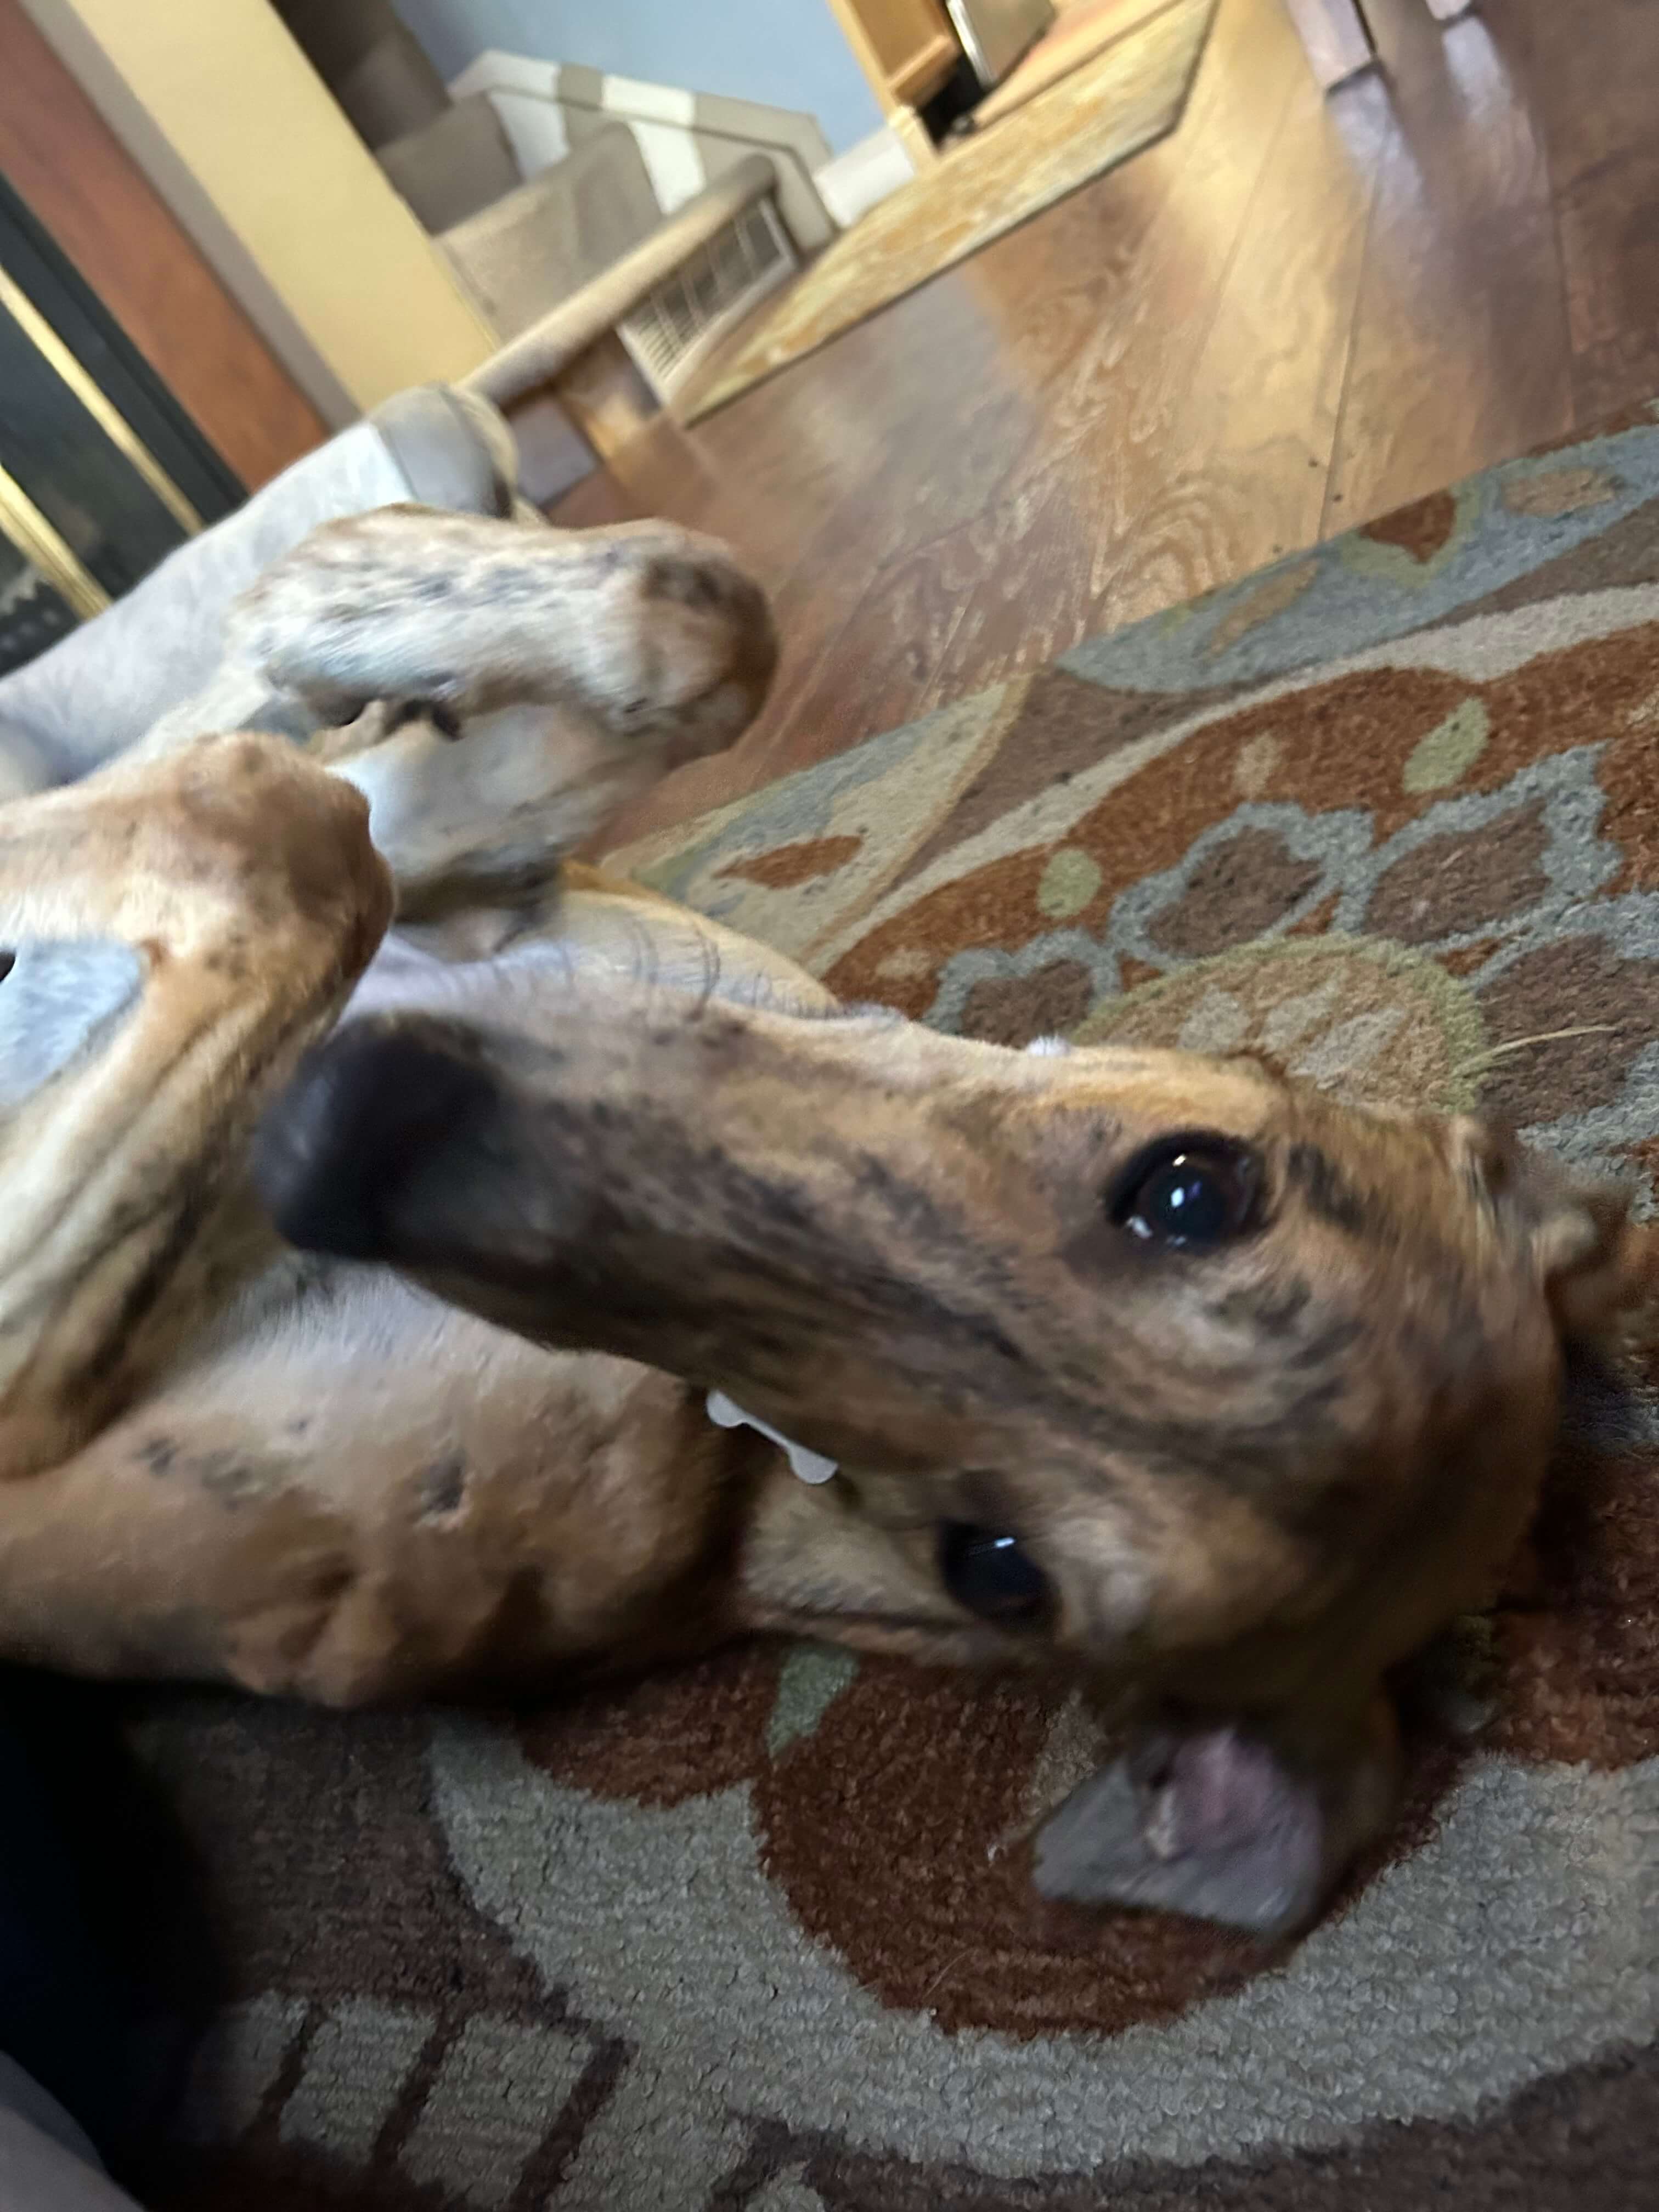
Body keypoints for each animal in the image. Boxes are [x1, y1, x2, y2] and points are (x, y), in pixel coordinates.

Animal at [0, 504, 1644, 1939]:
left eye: (998, 1568)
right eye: (1190, 1189)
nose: (355, 1129)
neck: (712, 1451)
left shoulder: (35, 1422)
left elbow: (276, 831)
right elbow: (693, 626)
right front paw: (342, 606)